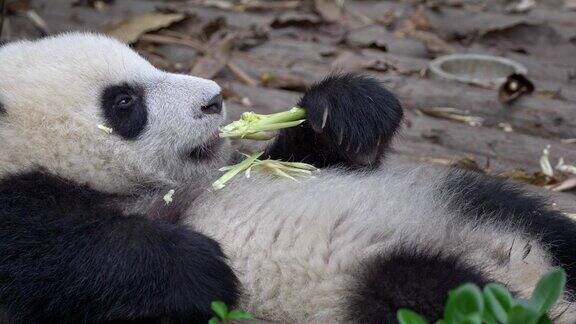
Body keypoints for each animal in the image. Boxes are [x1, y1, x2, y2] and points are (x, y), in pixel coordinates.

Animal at [1, 33, 576, 324]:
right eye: (125, 102)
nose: (214, 99)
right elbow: (54, 255)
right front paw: (196, 264)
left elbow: (303, 160)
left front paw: (345, 109)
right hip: (372, 286)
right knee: (433, 293)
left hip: (475, 201)